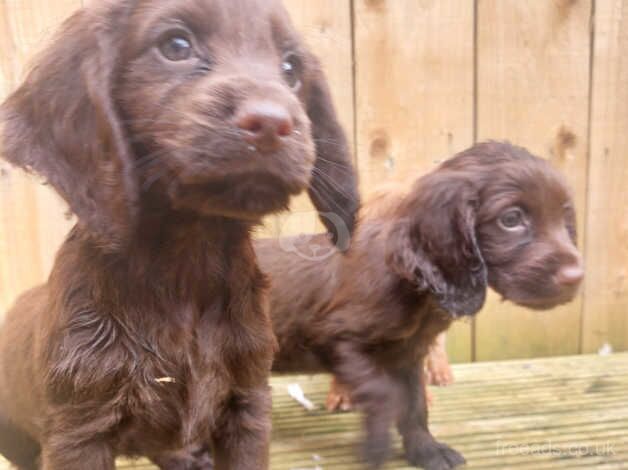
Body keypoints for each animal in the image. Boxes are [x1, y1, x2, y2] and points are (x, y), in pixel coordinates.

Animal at [0, 0, 358, 470]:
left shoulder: (247, 402)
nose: (272, 123)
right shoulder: (78, 428)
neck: (186, 265)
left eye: (291, 67)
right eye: (176, 46)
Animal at [255, 141, 584, 468]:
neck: (412, 286)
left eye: (564, 216)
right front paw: (376, 446)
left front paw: (427, 451)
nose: (577, 277)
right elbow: (383, 394)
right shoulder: (334, 338)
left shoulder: (408, 355)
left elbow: (414, 404)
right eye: (511, 219)